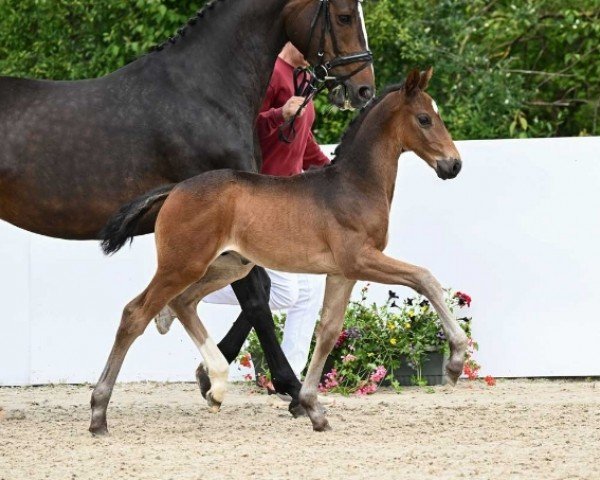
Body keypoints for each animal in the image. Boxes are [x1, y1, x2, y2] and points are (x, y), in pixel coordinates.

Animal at [95, 69, 468, 434]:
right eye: (424, 118)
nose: (453, 165)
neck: (354, 186)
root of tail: (175, 189)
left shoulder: (341, 272)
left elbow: (328, 332)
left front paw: (313, 409)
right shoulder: (360, 259)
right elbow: (424, 278)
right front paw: (455, 361)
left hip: (230, 266)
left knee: (183, 302)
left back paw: (214, 384)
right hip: (183, 265)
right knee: (135, 314)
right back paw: (99, 413)